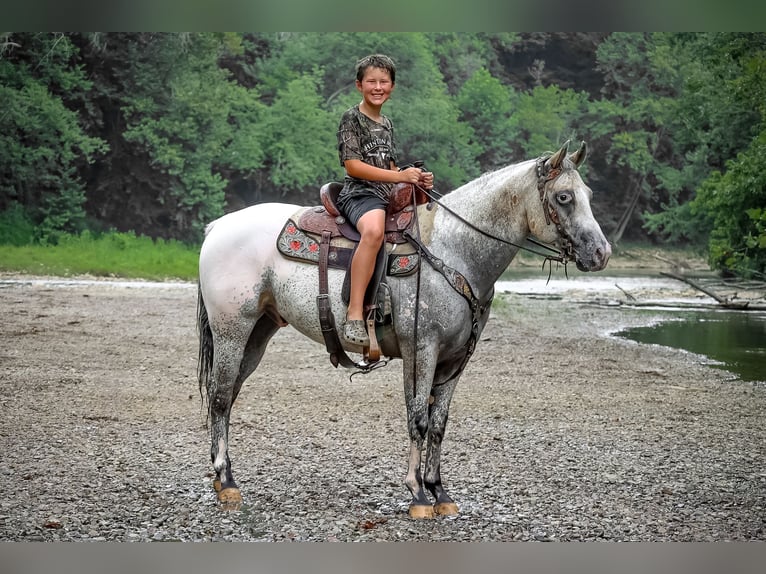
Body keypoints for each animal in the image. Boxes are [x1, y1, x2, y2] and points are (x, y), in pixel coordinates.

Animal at [198, 142, 612, 520]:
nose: (601, 253)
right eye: (564, 197)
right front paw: (418, 495)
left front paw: (440, 492)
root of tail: (218, 226)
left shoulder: (456, 360)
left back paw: (221, 479)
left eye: (589, 195)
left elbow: (439, 425)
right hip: (232, 330)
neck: (453, 250)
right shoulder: (421, 350)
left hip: (258, 332)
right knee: (219, 396)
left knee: (229, 397)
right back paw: (227, 482)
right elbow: (418, 419)